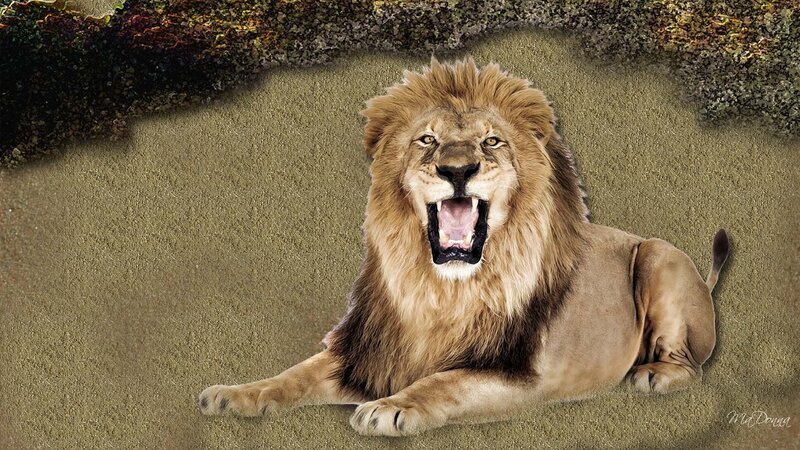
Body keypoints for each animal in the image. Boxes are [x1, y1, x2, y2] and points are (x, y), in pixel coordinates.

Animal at [198, 58, 729, 436]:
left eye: (491, 141)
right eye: (426, 140)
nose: (456, 169)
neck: (442, 290)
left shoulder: (522, 376)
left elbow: (445, 380)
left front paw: (390, 407)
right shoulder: (367, 351)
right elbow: (293, 375)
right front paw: (234, 395)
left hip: (660, 256)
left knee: (692, 365)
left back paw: (652, 374)